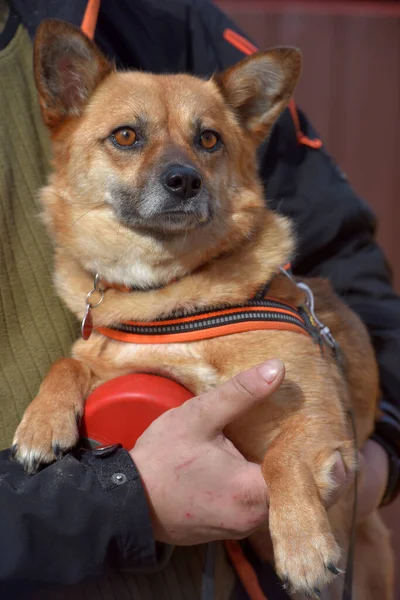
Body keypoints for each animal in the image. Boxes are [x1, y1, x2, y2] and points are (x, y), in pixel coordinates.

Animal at [13, 19, 394, 600]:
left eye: (208, 139)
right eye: (126, 135)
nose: (184, 181)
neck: (171, 291)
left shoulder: (322, 418)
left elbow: (281, 458)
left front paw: (304, 548)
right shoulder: (115, 359)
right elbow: (71, 361)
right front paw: (41, 422)